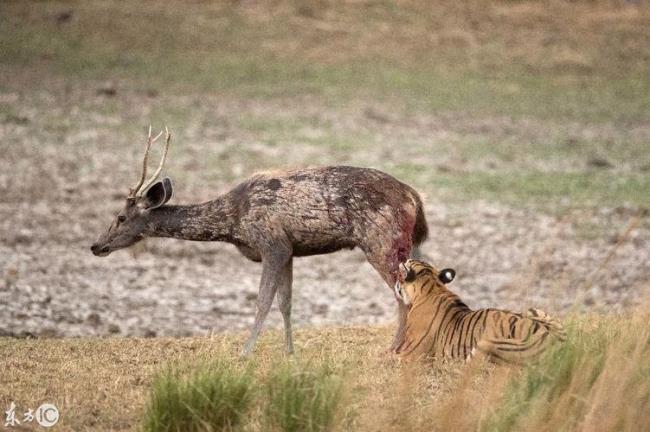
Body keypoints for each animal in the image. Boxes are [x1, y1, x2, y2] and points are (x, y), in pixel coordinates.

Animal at [88, 126, 428, 356]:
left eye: (121, 217)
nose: (96, 246)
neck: (233, 222)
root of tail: (415, 197)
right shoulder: (290, 250)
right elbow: (285, 302)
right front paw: (290, 352)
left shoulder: (272, 243)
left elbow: (263, 301)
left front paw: (245, 351)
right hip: (409, 244)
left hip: (382, 240)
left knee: (402, 295)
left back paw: (395, 348)